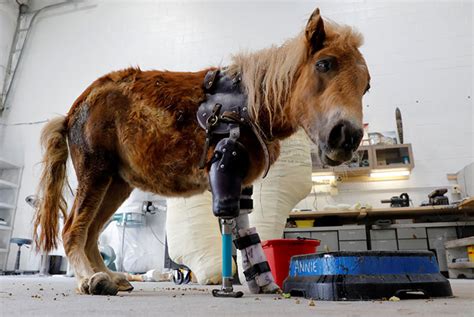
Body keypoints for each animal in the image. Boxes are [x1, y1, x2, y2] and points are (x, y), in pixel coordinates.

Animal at [33, 6, 370, 294]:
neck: (252, 104)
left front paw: (262, 283)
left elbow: (244, 232)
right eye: (324, 64)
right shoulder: (226, 171)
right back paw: (90, 279)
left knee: (91, 232)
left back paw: (110, 277)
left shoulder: (240, 182)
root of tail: (74, 110)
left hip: (116, 183)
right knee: (74, 229)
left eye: (366, 85)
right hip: (96, 172)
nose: (347, 137)